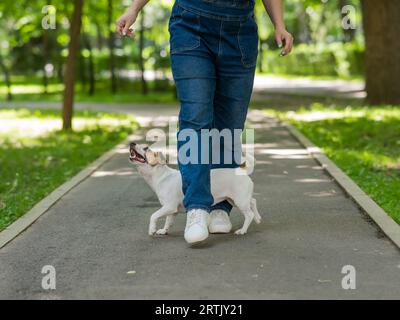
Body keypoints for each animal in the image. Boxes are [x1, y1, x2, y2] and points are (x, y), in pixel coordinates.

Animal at [129, 142, 262, 235]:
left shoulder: (169, 207)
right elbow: (168, 221)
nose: (132, 143)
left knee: (249, 214)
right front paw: (163, 230)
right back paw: (258, 218)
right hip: (235, 199)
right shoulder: (172, 210)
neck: (161, 176)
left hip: (239, 200)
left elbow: (154, 215)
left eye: (146, 148)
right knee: (253, 201)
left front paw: (152, 229)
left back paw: (243, 230)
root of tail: (242, 172)